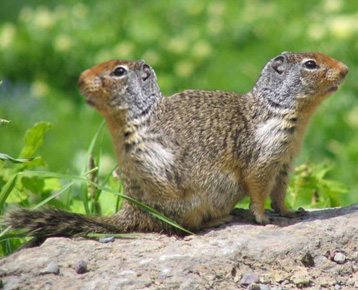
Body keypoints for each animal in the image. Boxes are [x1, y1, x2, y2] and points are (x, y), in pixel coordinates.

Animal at [4, 51, 348, 239]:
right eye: (310, 64)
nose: (345, 69)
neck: (283, 109)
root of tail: (131, 210)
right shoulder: (266, 155)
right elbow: (259, 187)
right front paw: (262, 219)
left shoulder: (286, 160)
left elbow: (279, 192)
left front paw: (291, 212)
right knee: (182, 226)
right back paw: (220, 218)